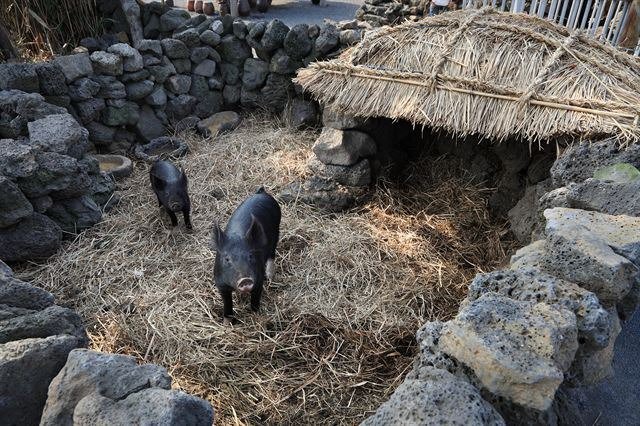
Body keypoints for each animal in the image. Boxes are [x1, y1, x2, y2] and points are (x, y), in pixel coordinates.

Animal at [211, 186, 282, 322]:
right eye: (227, 259)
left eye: (250, 256)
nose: (245, 280)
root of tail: (261, 193)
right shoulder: (220, 284)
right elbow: (227, 303)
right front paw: (227, 322)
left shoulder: (258, 278)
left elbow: (255, 299)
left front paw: (256, 314)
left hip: (277, 230)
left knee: (272, 253)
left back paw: (270, 277)